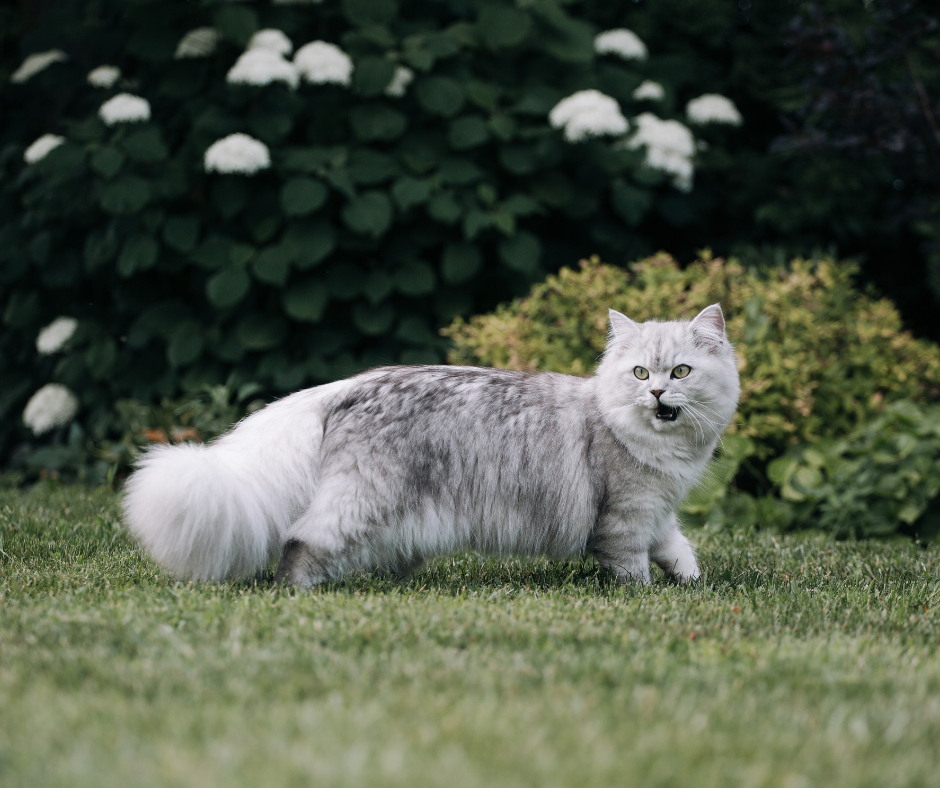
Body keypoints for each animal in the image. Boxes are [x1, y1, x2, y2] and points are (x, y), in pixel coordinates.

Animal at [123, 304, 740, 588]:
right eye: (639, 373)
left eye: (680, 371)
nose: (657, 392)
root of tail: (346, 386)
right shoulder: (626, 517)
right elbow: (633, 569)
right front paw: (647, 597)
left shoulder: (657, 512)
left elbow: (677, 548)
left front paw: (691, 583)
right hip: (360, 503)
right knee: (300, 542)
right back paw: (298, 592)